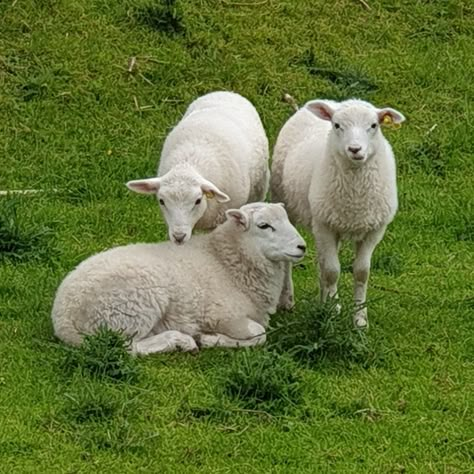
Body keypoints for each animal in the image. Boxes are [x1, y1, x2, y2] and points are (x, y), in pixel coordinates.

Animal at [50, 202, 306, 354]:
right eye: (264, 225)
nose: (302, 246)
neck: (227, 262)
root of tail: (63, 320)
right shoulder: (221, 315)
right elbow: (259, 334)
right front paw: (209, 340)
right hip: (128, 311)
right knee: (128, 348)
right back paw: (180, 341)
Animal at [127, 90, 270, 244]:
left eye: (198, 201)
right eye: (161, 201)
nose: (179, 237)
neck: (189, 163)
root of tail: (226, 92)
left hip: (259, 185)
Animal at [272, 98, 406, 328]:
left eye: (374, 125)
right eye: (337, 125)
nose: (355, 149)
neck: (355, 198)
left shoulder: (373, 230)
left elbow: (361, 272)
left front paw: (359, 318)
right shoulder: (325, 227)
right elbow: (332, 272)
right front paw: (334, 311)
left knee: (321, 263)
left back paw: (322, 301)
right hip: (289, 205)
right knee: (292, 260)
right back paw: (288, 300)